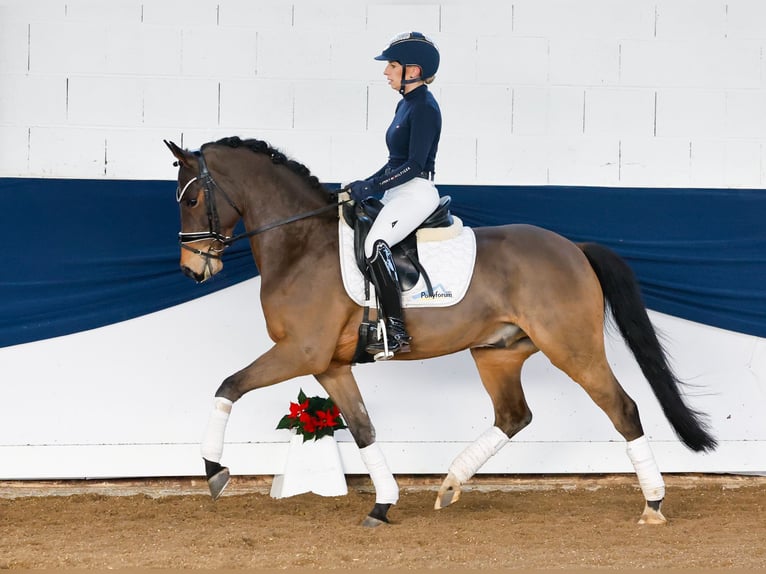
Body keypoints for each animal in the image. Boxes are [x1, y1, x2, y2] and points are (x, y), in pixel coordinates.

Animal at [165, 137, 716, 528]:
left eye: (190, 199)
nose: (193, 270)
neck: (301, 245)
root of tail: (573, 247)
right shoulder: (330, 364)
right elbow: (363, 428)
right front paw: (383, 505)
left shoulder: (299, 351)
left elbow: (228, 386)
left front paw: (214, 472)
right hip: (497, 352)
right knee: (514, 415)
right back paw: (451, 483)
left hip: (573, 349)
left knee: (623, 409)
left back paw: (653, 504)